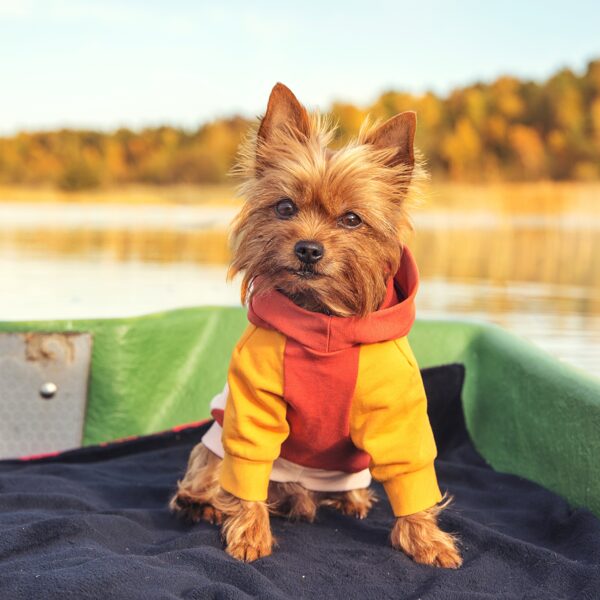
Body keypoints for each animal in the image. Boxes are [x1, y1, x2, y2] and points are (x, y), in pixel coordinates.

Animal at [171, 83, 462, 568]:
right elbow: (247, 468)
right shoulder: (252, 403)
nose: (308, 248)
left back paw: (351, 501)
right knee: (211, 470)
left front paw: (426, 540)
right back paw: (202, 501)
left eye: (352, 218)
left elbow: (409, 467)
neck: (323, 320)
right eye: (285, 207)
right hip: (216, 439)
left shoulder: (397, 412)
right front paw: (249, 531)